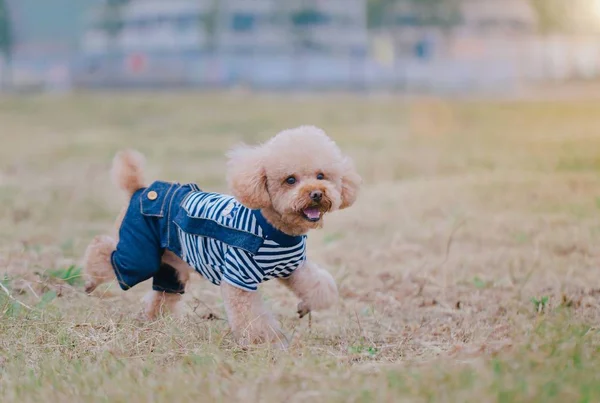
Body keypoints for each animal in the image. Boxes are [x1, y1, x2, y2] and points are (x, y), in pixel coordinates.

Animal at [80, 126, 360, 348]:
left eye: (321, 176)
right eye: (290, 180)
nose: (316, 193)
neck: (276, 230)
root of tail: (139, 189)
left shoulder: (292, 267)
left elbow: (318, 285)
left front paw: (307, 305)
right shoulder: (239, 276)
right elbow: (250, 316)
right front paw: (265, 341)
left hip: (170, 264)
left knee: (162, 294)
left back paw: (153, 322)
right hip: (140, 253)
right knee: (106, 250)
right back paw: (90, 279)